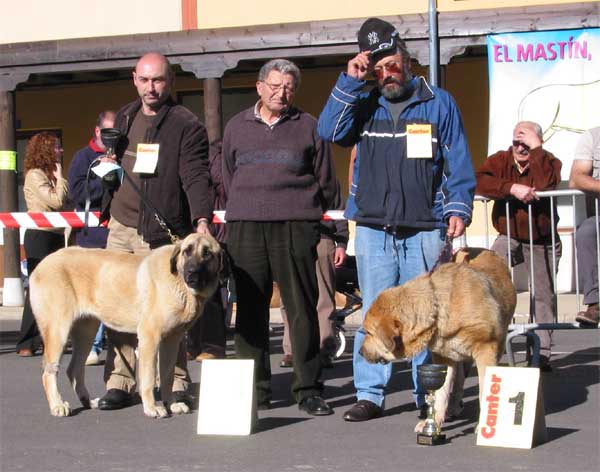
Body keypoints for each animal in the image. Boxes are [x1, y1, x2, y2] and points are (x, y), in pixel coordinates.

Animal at [29, 232, 225, 416]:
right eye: (186, 251)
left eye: (207, 253)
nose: (192, 272)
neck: (178, 282)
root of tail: (42, 264)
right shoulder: (149, 337)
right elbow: (148, 378)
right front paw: (152, 408)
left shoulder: (172, 340)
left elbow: (168, 376)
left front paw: (171, 403)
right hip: (58, 331)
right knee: (49, 372)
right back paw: (57, 405)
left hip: (86, 332)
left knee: (74, 369)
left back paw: (88, 402)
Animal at [358, 249, 516, 434]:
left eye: (369, 332)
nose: (360, 352)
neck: (438, 308)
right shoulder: (443, 358)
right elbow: (441, 392)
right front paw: (433, 422)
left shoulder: (485, 350)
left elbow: (485, 390)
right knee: (458, 382)